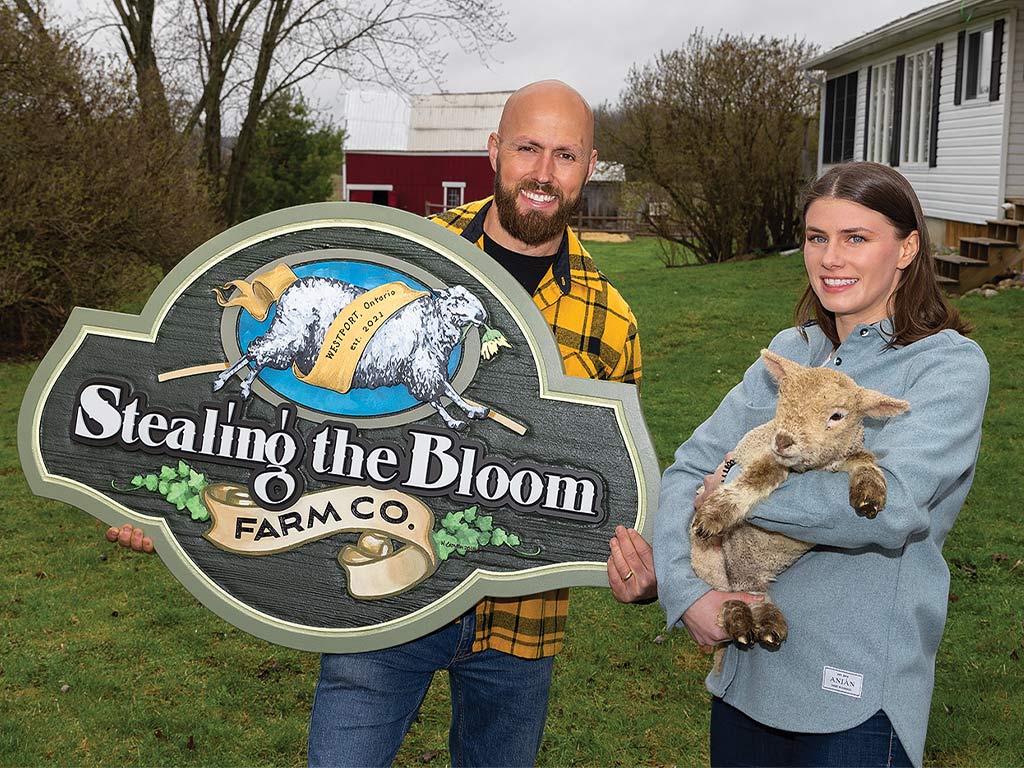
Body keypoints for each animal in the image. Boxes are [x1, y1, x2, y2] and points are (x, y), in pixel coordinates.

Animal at [214, 276, 489, 430]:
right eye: (458, 300)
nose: (483, 316)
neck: (434, 320)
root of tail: (289, 289)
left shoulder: (425, 366)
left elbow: (447, 392)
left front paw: (471, 412)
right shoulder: (421, 366)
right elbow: (440, 395)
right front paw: (456, 420)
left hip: (289, 332)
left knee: (258, 353)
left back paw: (229, 381)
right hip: (291, 332)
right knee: (258, 353)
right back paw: (235, 384)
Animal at [692, 350, 909, 667]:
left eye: (836, 416)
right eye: (783, 399)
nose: (783, 440)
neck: (814, 466)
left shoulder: (842, 455)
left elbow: (864, 457)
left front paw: (870, 491)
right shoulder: (764, 456)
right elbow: (759, 476)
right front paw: (716, 513)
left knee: (751, 591)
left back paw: (766, 621)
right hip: (708, 561)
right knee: (729, 591)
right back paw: (740, 620)